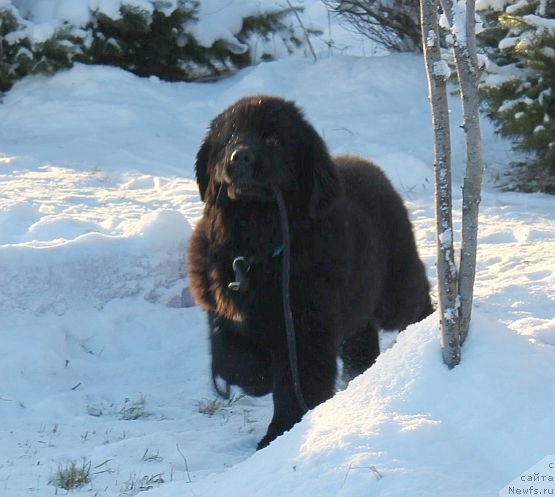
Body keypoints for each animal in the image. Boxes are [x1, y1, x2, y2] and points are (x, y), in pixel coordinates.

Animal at [188, 95, 434, 448]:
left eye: (272, 140)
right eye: (229, 138)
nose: (241, 157)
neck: (257, 246)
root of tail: (370, 166)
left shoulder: (307, 332)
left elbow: (295, 387)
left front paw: (279, 433)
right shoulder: (221, 310)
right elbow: (234, 357)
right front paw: (256, 378)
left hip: (394, 289)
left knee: (415, 302)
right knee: (361, 339)